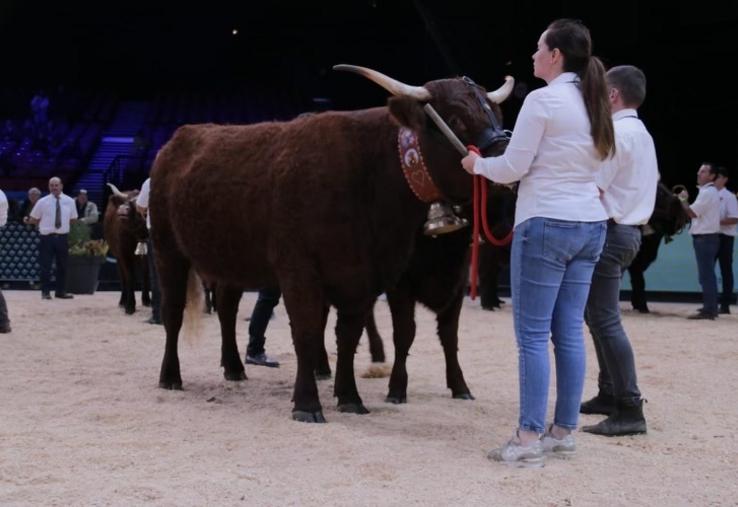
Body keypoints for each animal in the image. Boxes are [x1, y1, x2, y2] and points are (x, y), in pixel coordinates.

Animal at [103, 185, 150, 316]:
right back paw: (122, 301)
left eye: (138, 204)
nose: (123, 209)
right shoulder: (123, 254)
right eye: (126, 202)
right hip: (118, 257)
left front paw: (146, 300)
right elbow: (129, 277)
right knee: (123, 277)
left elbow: (146, 273)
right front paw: (130, 305)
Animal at [150, 66, 512, 424]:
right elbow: (307, 332)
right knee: (172, 313)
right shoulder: (300, 271)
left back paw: (235, 368)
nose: (504, 152)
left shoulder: (363, 278)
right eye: (456, 119)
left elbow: (349, 336)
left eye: (494, 114)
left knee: (227, 309)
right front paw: (307, 403)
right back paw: (170, 376)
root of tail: (181, 137)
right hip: (168, 251)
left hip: (230, 261)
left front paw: (350, 397)